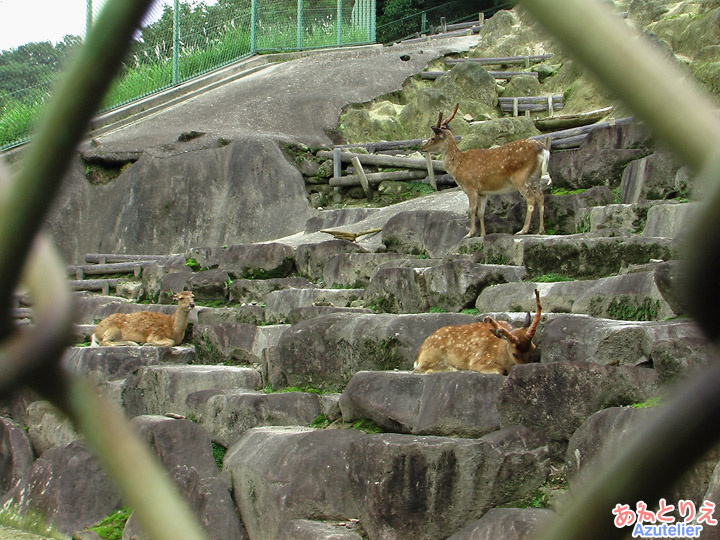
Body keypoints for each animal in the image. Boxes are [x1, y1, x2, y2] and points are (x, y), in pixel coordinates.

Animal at [414, 288, 544, 374]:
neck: (500, 351)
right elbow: (500, 370)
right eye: (514, 354)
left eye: (534, 348)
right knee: (420, 369)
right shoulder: (478, 360)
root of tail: (419, 353)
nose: (525, 369)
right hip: (433, 353)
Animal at [422, 103, 552, 236]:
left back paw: (523, 230)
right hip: (536, 177)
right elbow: (481, 213)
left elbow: (472, 210)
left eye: (433, 138)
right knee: (541, 197)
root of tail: (544, 149)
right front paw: (482, 234)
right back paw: (541, 230)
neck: (458, 165)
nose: (423, 148)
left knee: (531, 199)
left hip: (521, 177)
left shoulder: (470, 187)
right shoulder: (482, 192)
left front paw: (470, 233)